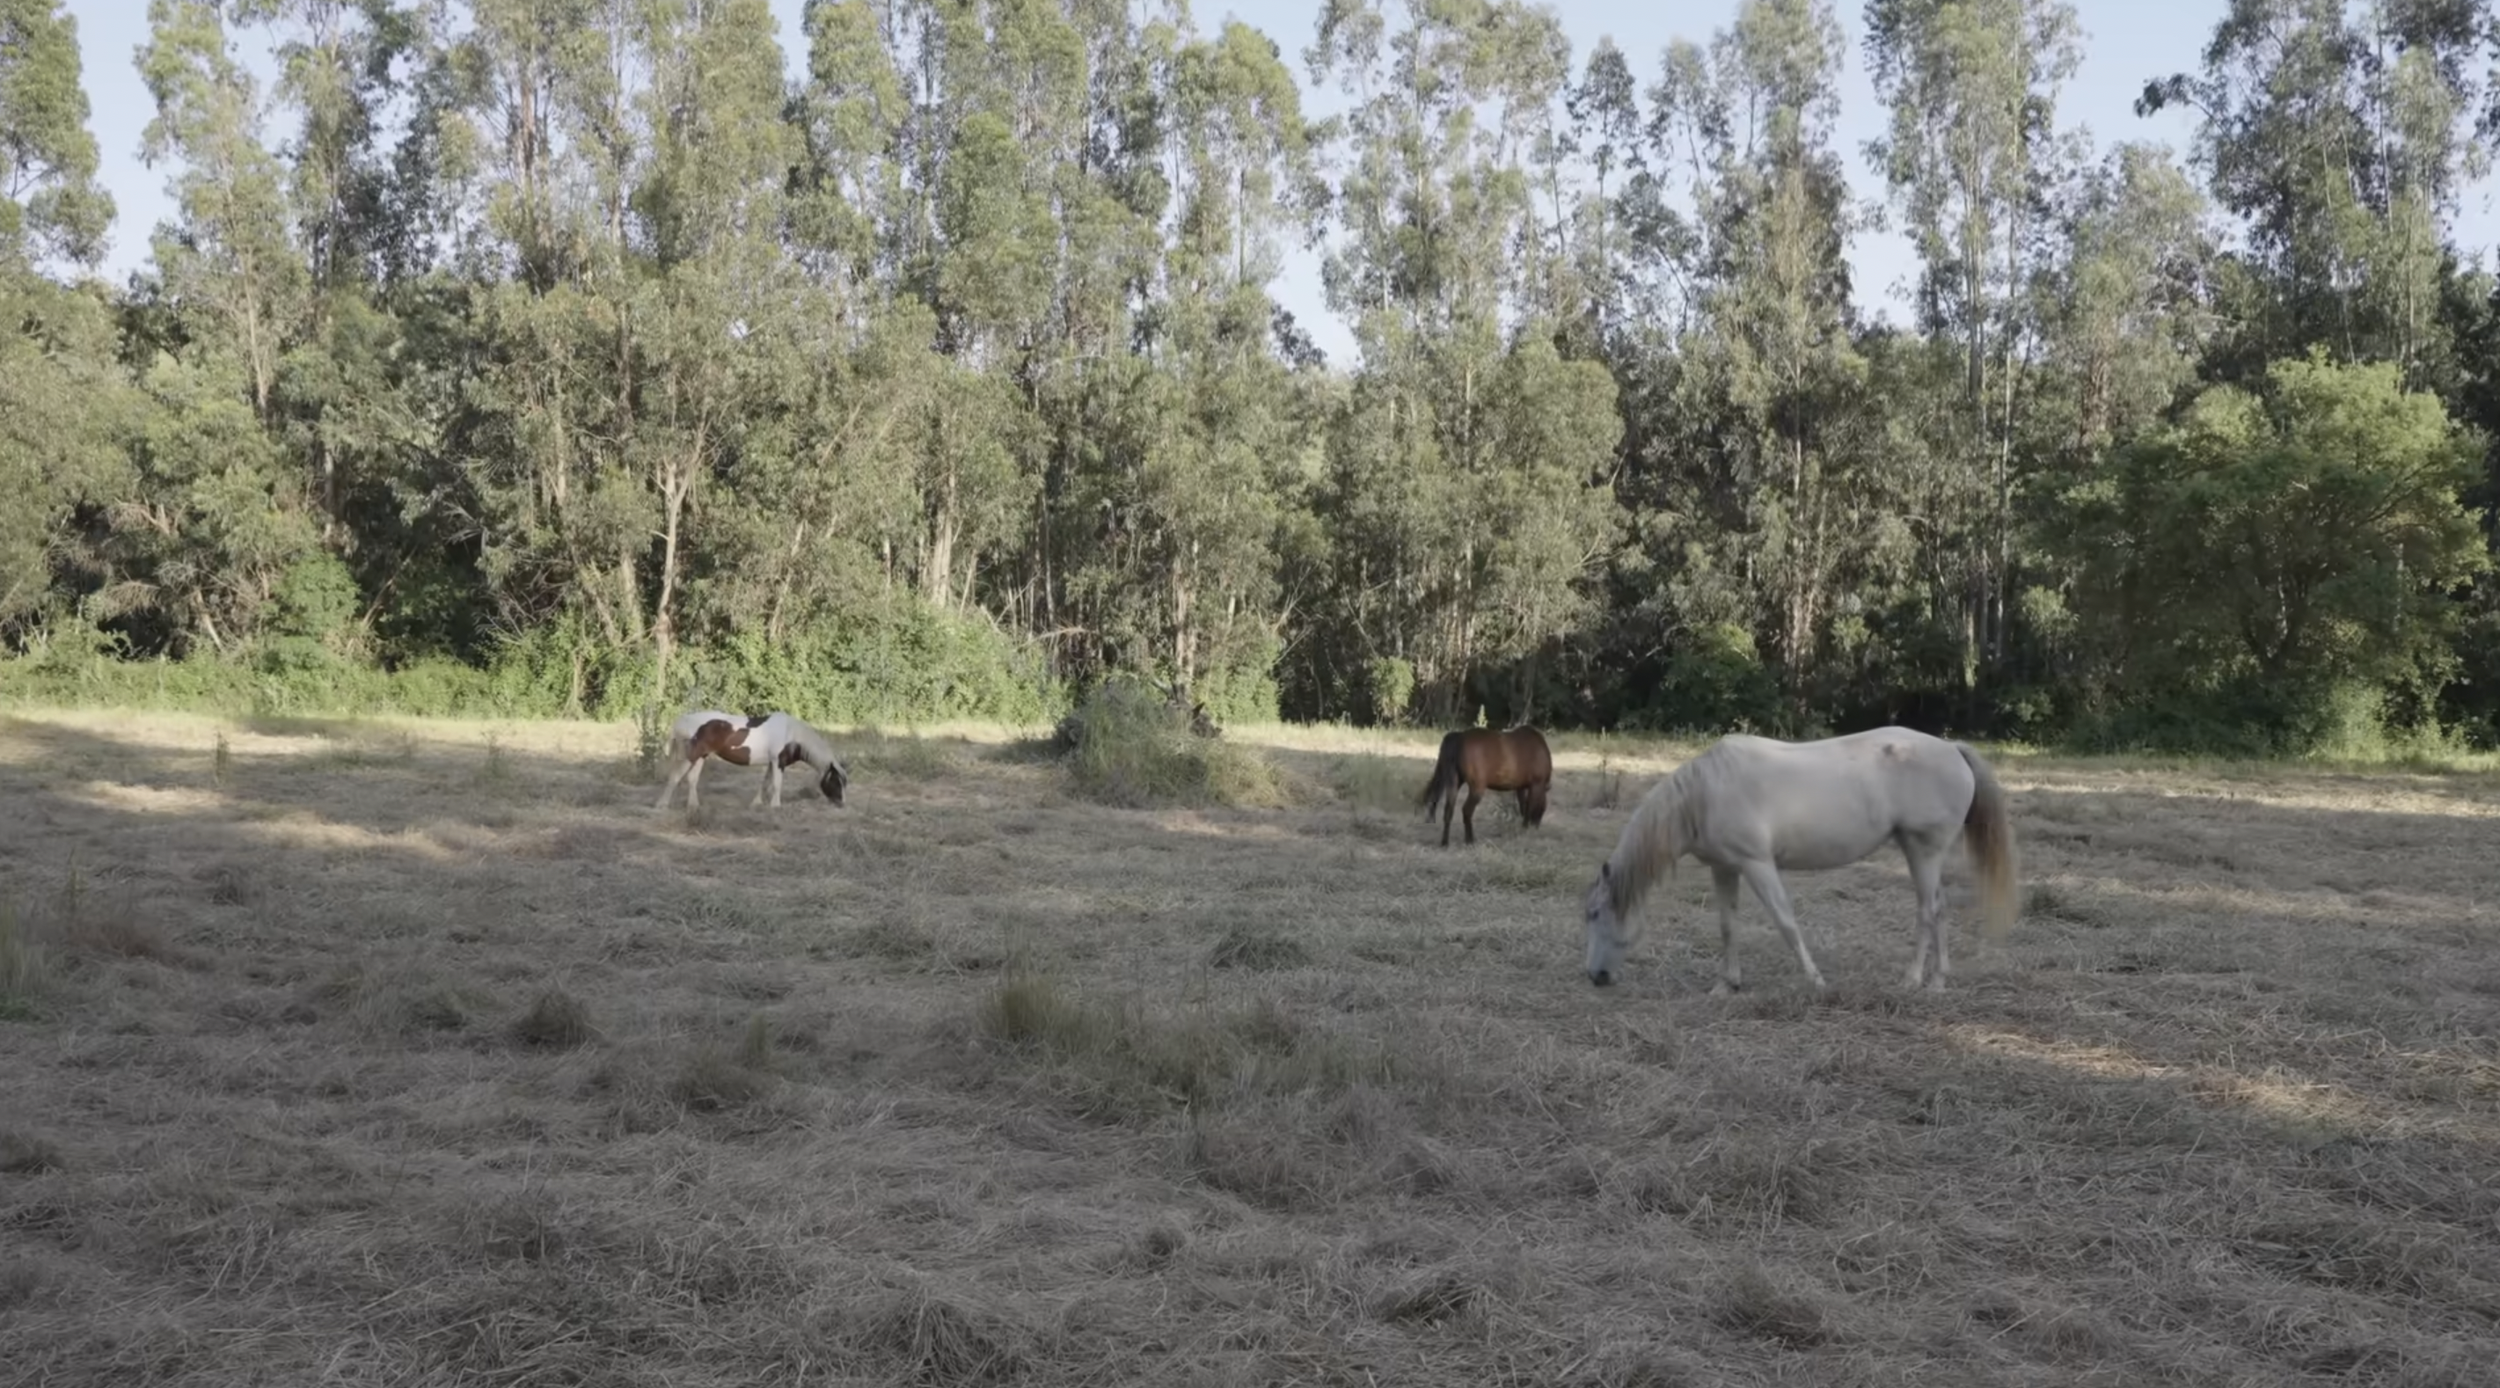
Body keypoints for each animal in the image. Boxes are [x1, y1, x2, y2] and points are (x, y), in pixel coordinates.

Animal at [653, 709, 849, 811]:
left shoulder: (771, 762)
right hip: (690, 756)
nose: (841, 803)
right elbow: (776, 784)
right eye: (835, 781)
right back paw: (661, 805)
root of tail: (681, 719)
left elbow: (765, 783)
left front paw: (758, 803)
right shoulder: (778, 762)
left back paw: (693, 806)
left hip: (701, 756)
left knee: (692, 779)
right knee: (675, 777)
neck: (791, 734)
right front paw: (775, 806)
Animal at [1418, 725, 1553, 847]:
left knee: (1448, 810)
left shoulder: (1521, 787)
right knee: (1466, 811)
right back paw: (1470, 840)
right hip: (1476, 788)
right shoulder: (1536, 785)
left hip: (1454, 783)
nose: (1536, 827)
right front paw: (1525, 829)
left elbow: (1523, 808)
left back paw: (1445, 843)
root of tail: (1461, 736)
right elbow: (1529, 808)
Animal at [1579, 727, 2017, 994]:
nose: (1596, 977)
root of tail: (1953, 749)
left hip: (1924, 850)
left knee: (1927, 910)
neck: (1704, 793)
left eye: (1596, 914)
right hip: (1918, 851)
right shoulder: (1725, 867)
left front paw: (1815, 980)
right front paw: (1727, 984)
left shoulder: (1757, 864)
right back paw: (1938, 981)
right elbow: (1727, 926)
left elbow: (1786, 922)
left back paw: (1912, 980)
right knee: (1938, 908)